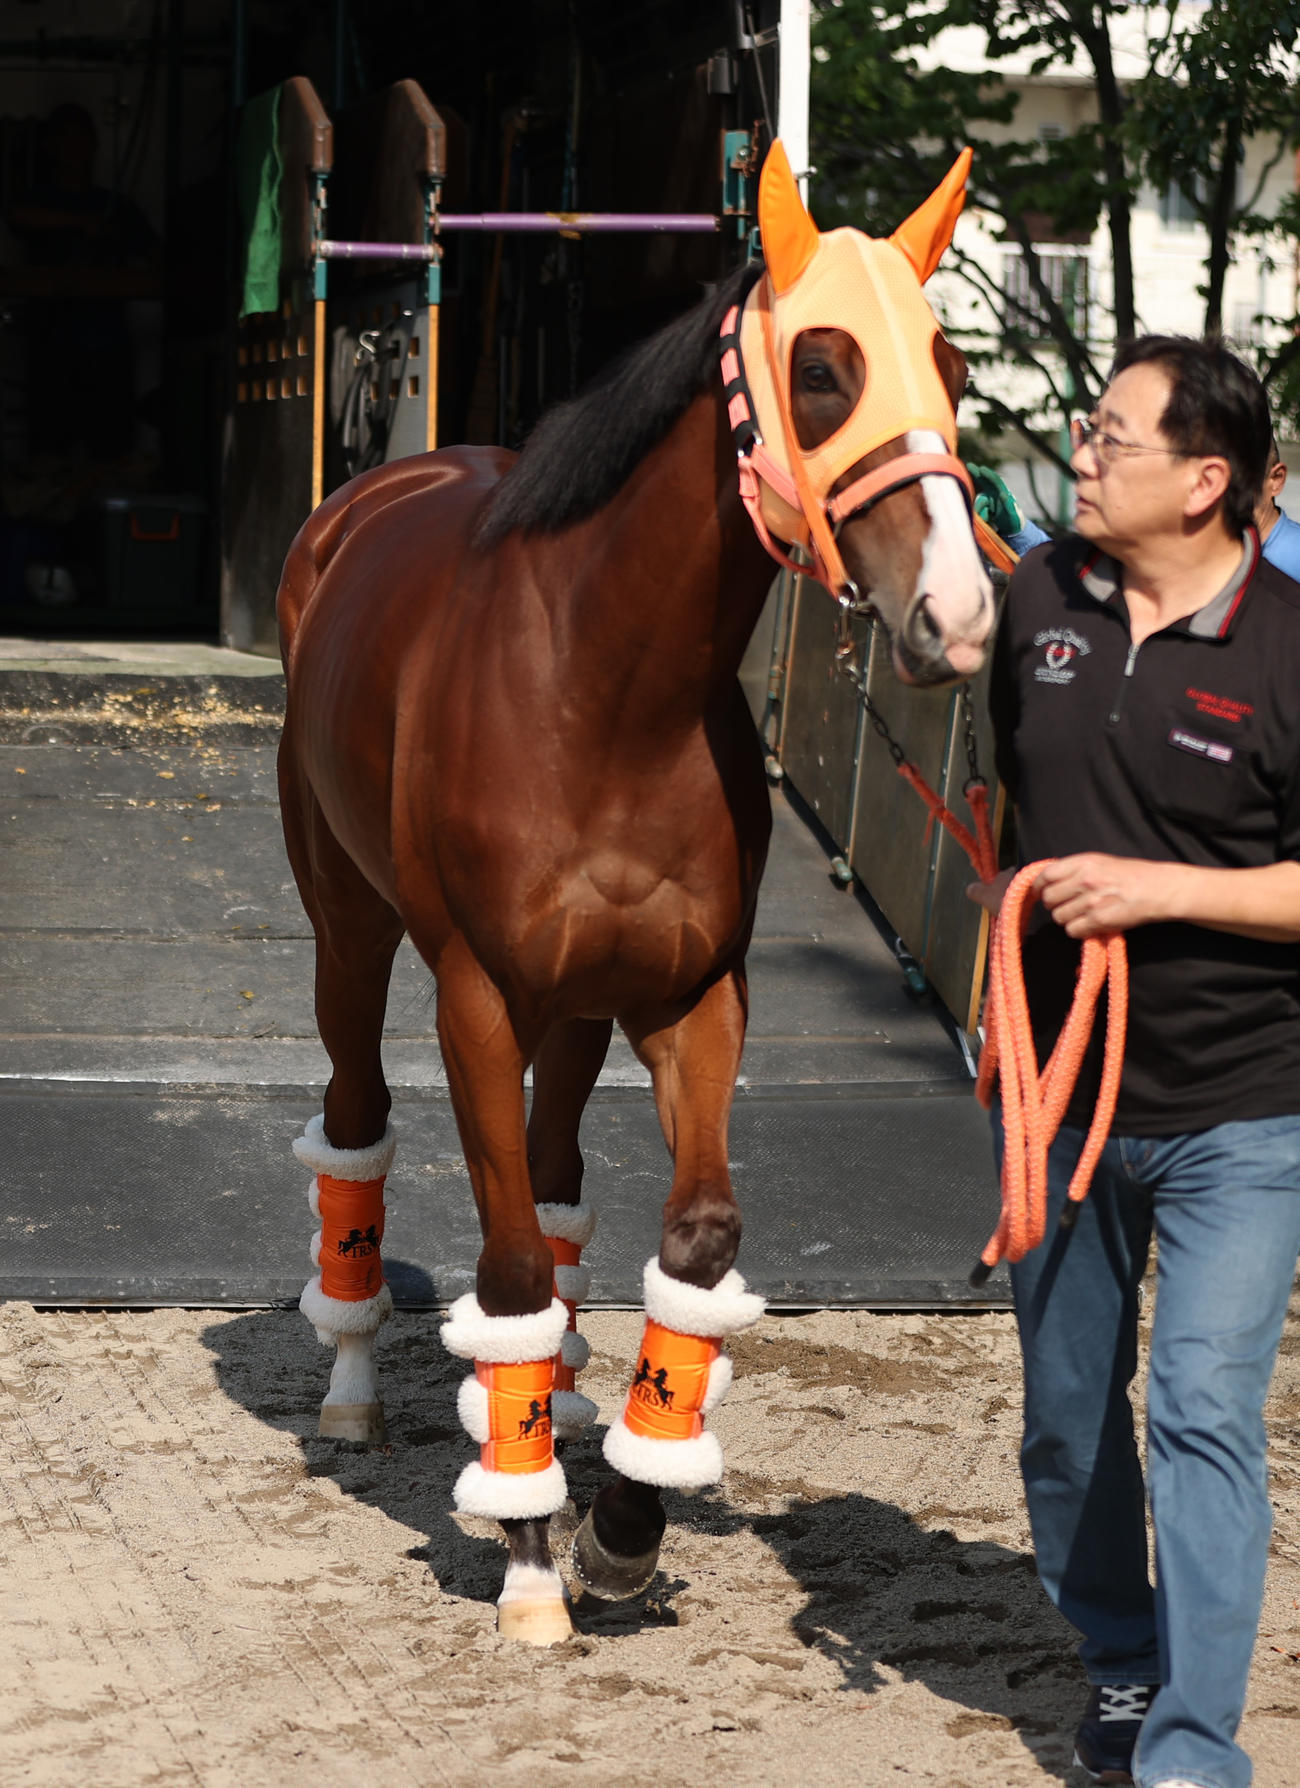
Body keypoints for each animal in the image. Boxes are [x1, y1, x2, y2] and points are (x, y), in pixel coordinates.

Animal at [275, 141, 995, 1645]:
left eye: (951, 365)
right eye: (824, 366)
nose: (955, 615)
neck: (601, 689)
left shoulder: (690, 995)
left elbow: (696, 1246)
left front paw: (618, 1519)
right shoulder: (476, 998)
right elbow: (502, 1271)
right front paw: (528, 1557)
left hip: (582, 1005)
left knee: (554, 1185)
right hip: (352, 937)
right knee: (358, 1130)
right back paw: (360, 1389)